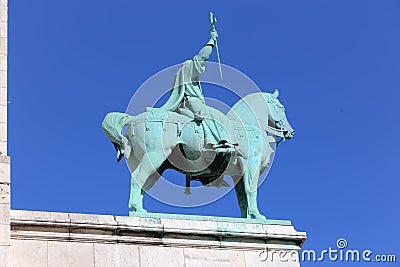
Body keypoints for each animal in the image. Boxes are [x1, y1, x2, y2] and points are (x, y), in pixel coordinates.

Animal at [101, 90, 292, 220]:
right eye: (281, 107)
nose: (290, 132)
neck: (247, 126)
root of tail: (133, 120)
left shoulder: (238, 172)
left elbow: (242, 198)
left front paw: (248, 219)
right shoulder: (250, 162)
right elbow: (251, 191)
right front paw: (258, 216)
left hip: (152, 165)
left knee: (141, 184)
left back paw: (139, 211)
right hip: (154, 156)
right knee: (137, 179)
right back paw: (138, 210)